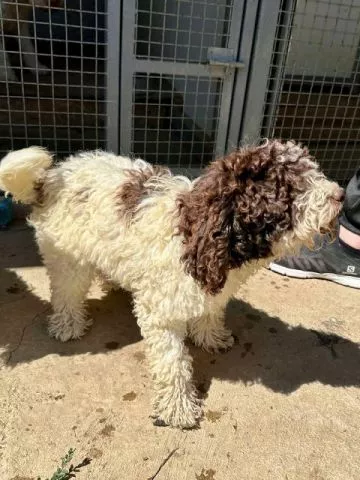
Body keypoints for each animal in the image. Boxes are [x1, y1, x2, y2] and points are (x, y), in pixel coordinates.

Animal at [0, 140, 344, 428]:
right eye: (290, 186)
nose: (341, 195)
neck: (205, 232)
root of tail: (53, 175)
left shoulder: (209, 290)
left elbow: (209, 313)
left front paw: (210, 336)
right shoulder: (161, 312)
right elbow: (172, 362)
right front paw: (178, 407)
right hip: (67, 257)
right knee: (66, 291)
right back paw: (68, 323)